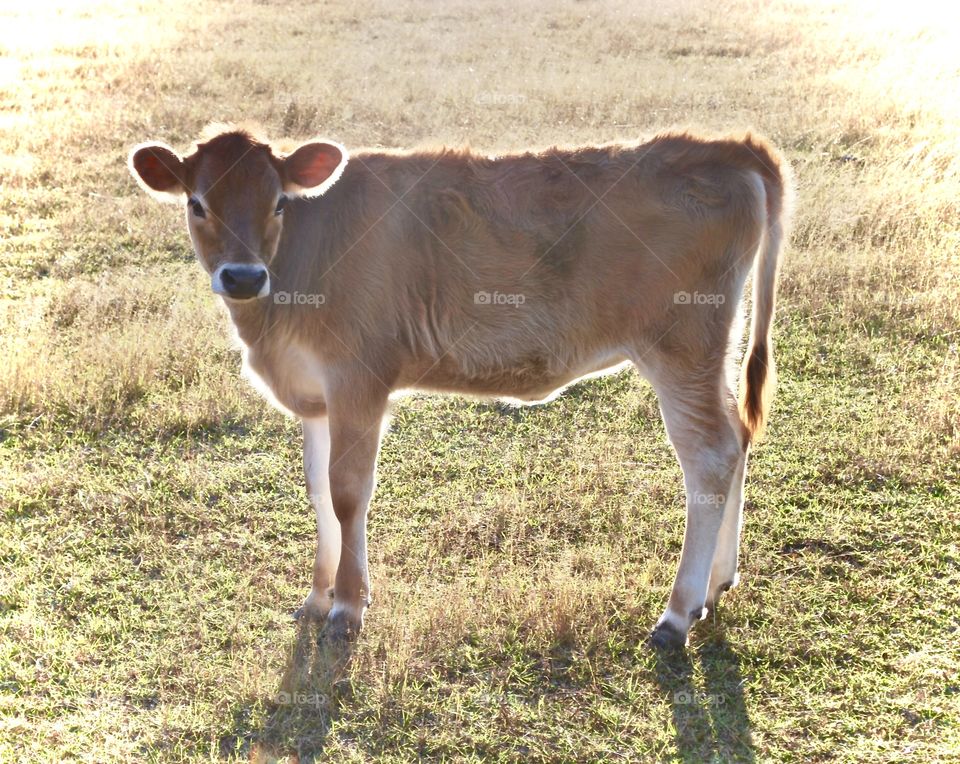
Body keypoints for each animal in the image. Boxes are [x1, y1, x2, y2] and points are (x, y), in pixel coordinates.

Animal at [128, 123, 790, 648]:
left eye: (279, 205)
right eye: (197, 204)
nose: (242, 276)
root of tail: (728, 147)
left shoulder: (358, 380)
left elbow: (348, 494)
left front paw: (347, 606)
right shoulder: (315, 397)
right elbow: (317, 492)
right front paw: (318, 596)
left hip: (681, 347)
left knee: (709, 458)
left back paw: (677, 614)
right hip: (711, 351)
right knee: (736, 440)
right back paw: (717, 584)